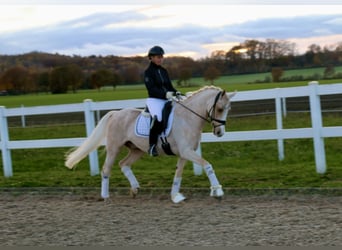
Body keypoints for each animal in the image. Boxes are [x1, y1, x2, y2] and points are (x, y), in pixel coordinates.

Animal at [65, 86, 235, 203]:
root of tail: (116, 113)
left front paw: (175, 196)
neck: (188, 118)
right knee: (106, 169)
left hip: (137, 149)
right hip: (114, 147)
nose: (220, 132)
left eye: (228, 109)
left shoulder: (184, 153)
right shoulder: (187, 152)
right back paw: (106, 196)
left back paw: (134, 189)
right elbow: (207, 165)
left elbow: (178, 174)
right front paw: (217, 191)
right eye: (220, 108)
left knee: (124, 164)